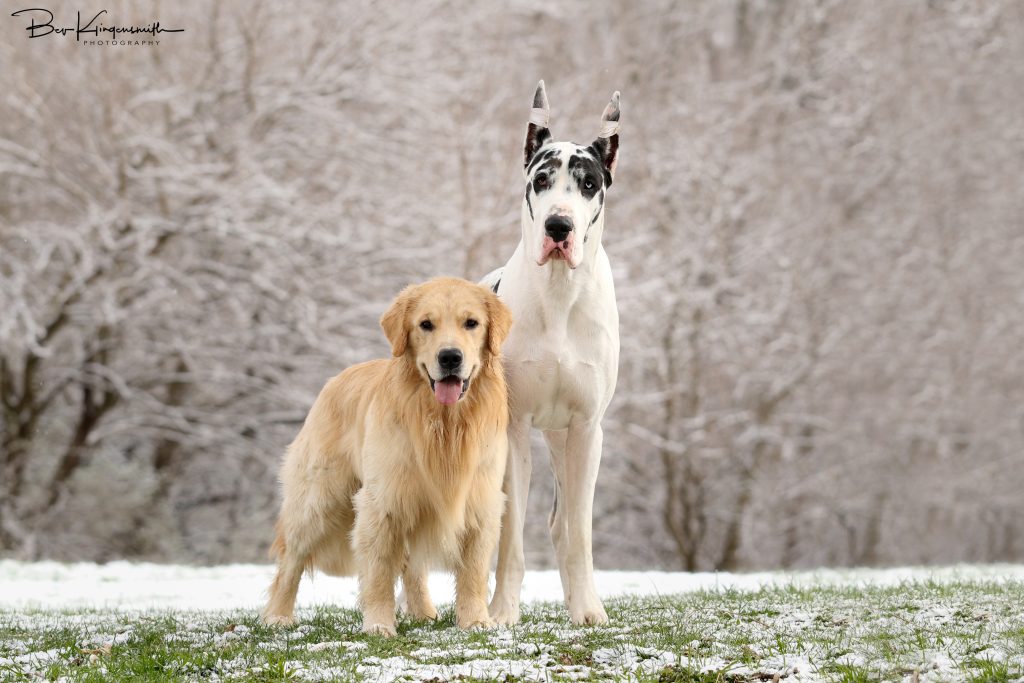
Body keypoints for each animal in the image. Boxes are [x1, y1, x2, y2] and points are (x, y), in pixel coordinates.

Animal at [262, 278, 512, 634]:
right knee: (291, 560)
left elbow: (474, 572)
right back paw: (278, 616)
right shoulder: (383, 503)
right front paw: (379, 625)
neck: (444, 424)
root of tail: (334, 380)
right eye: (426, 324)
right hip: (317, 500)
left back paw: (423, 612)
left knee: (412, 566)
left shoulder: (480, 501)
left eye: (471, 323)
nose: (450, 357)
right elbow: (379, 572)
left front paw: (476, 620)